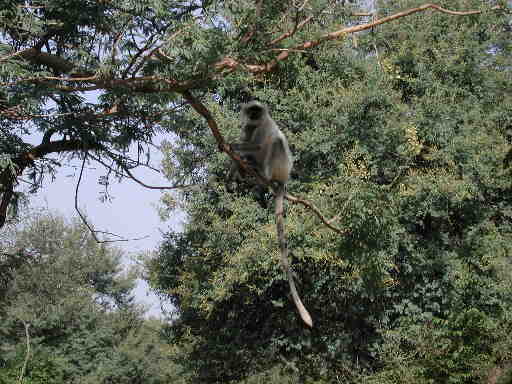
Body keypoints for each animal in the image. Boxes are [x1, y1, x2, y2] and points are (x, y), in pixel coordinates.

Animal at [227, 100, 312, 328]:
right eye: (251, 111)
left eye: (258, 111)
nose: (254, 116)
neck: (256, 123)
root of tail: (283, 180)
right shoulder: (248, 126)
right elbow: (245, 141)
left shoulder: (262, 126)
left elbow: (256, 145)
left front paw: (229, 145)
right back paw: (243, 171)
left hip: (280, 166)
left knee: (276, 141)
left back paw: (261, 174)